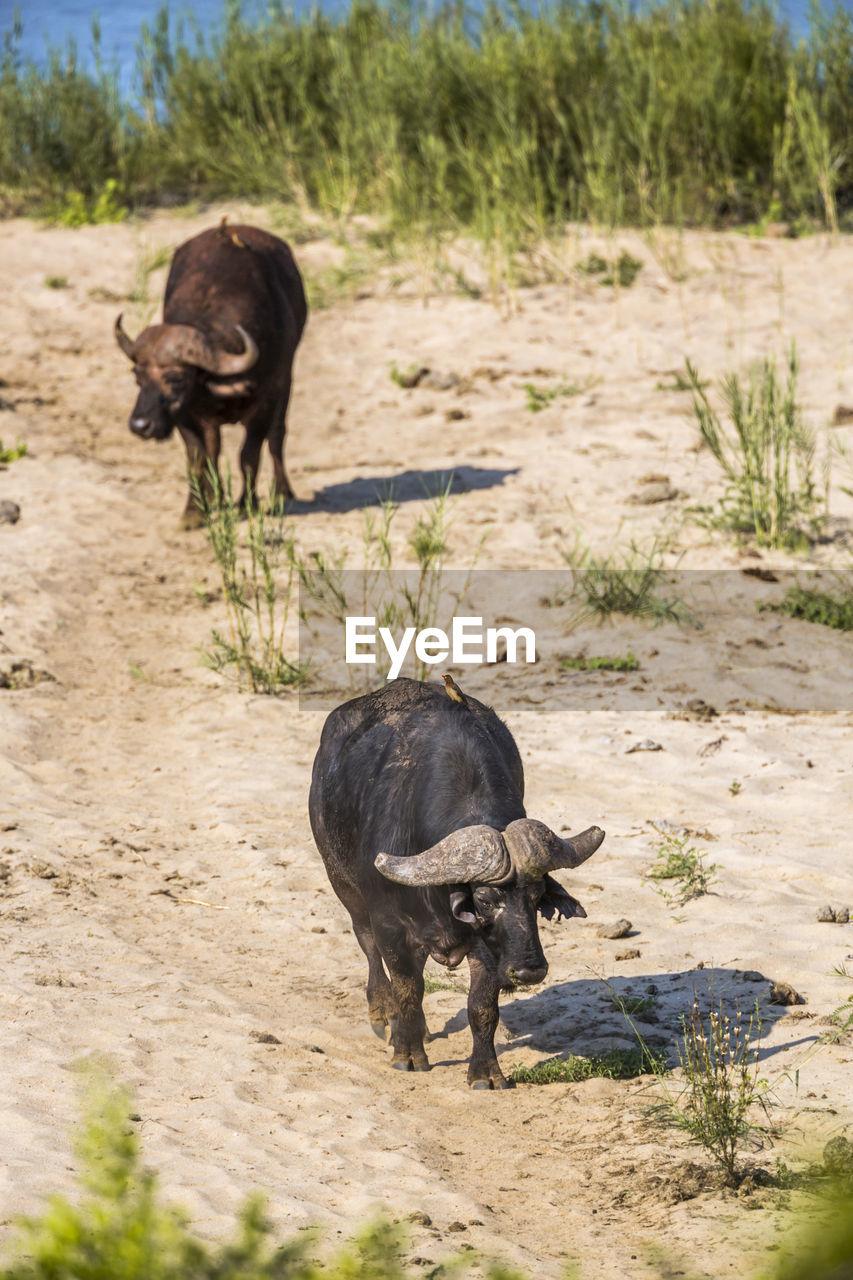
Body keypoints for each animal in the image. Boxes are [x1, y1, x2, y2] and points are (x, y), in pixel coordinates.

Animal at [116, 224, 306, 524]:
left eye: (177, 378)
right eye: (138, 378)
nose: (140, 425)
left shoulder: (265, 404)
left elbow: (249, 456)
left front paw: (247, 504)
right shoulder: (185, 415)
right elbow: (198, 458)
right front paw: (194, 511)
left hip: (286, 383)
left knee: (277, 435)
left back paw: (282, 492)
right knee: (214, 446)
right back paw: (214, 497)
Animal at [308, 675, 601, 1085]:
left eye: (537, 896)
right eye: (485, 900)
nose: (531, 970)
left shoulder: (488, 947)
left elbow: (481, 1006)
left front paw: (486, 1072)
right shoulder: (389, 926)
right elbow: (407, 989)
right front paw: (407, 1053)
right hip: (342, 881)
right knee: (366, 944)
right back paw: (383, 1014)